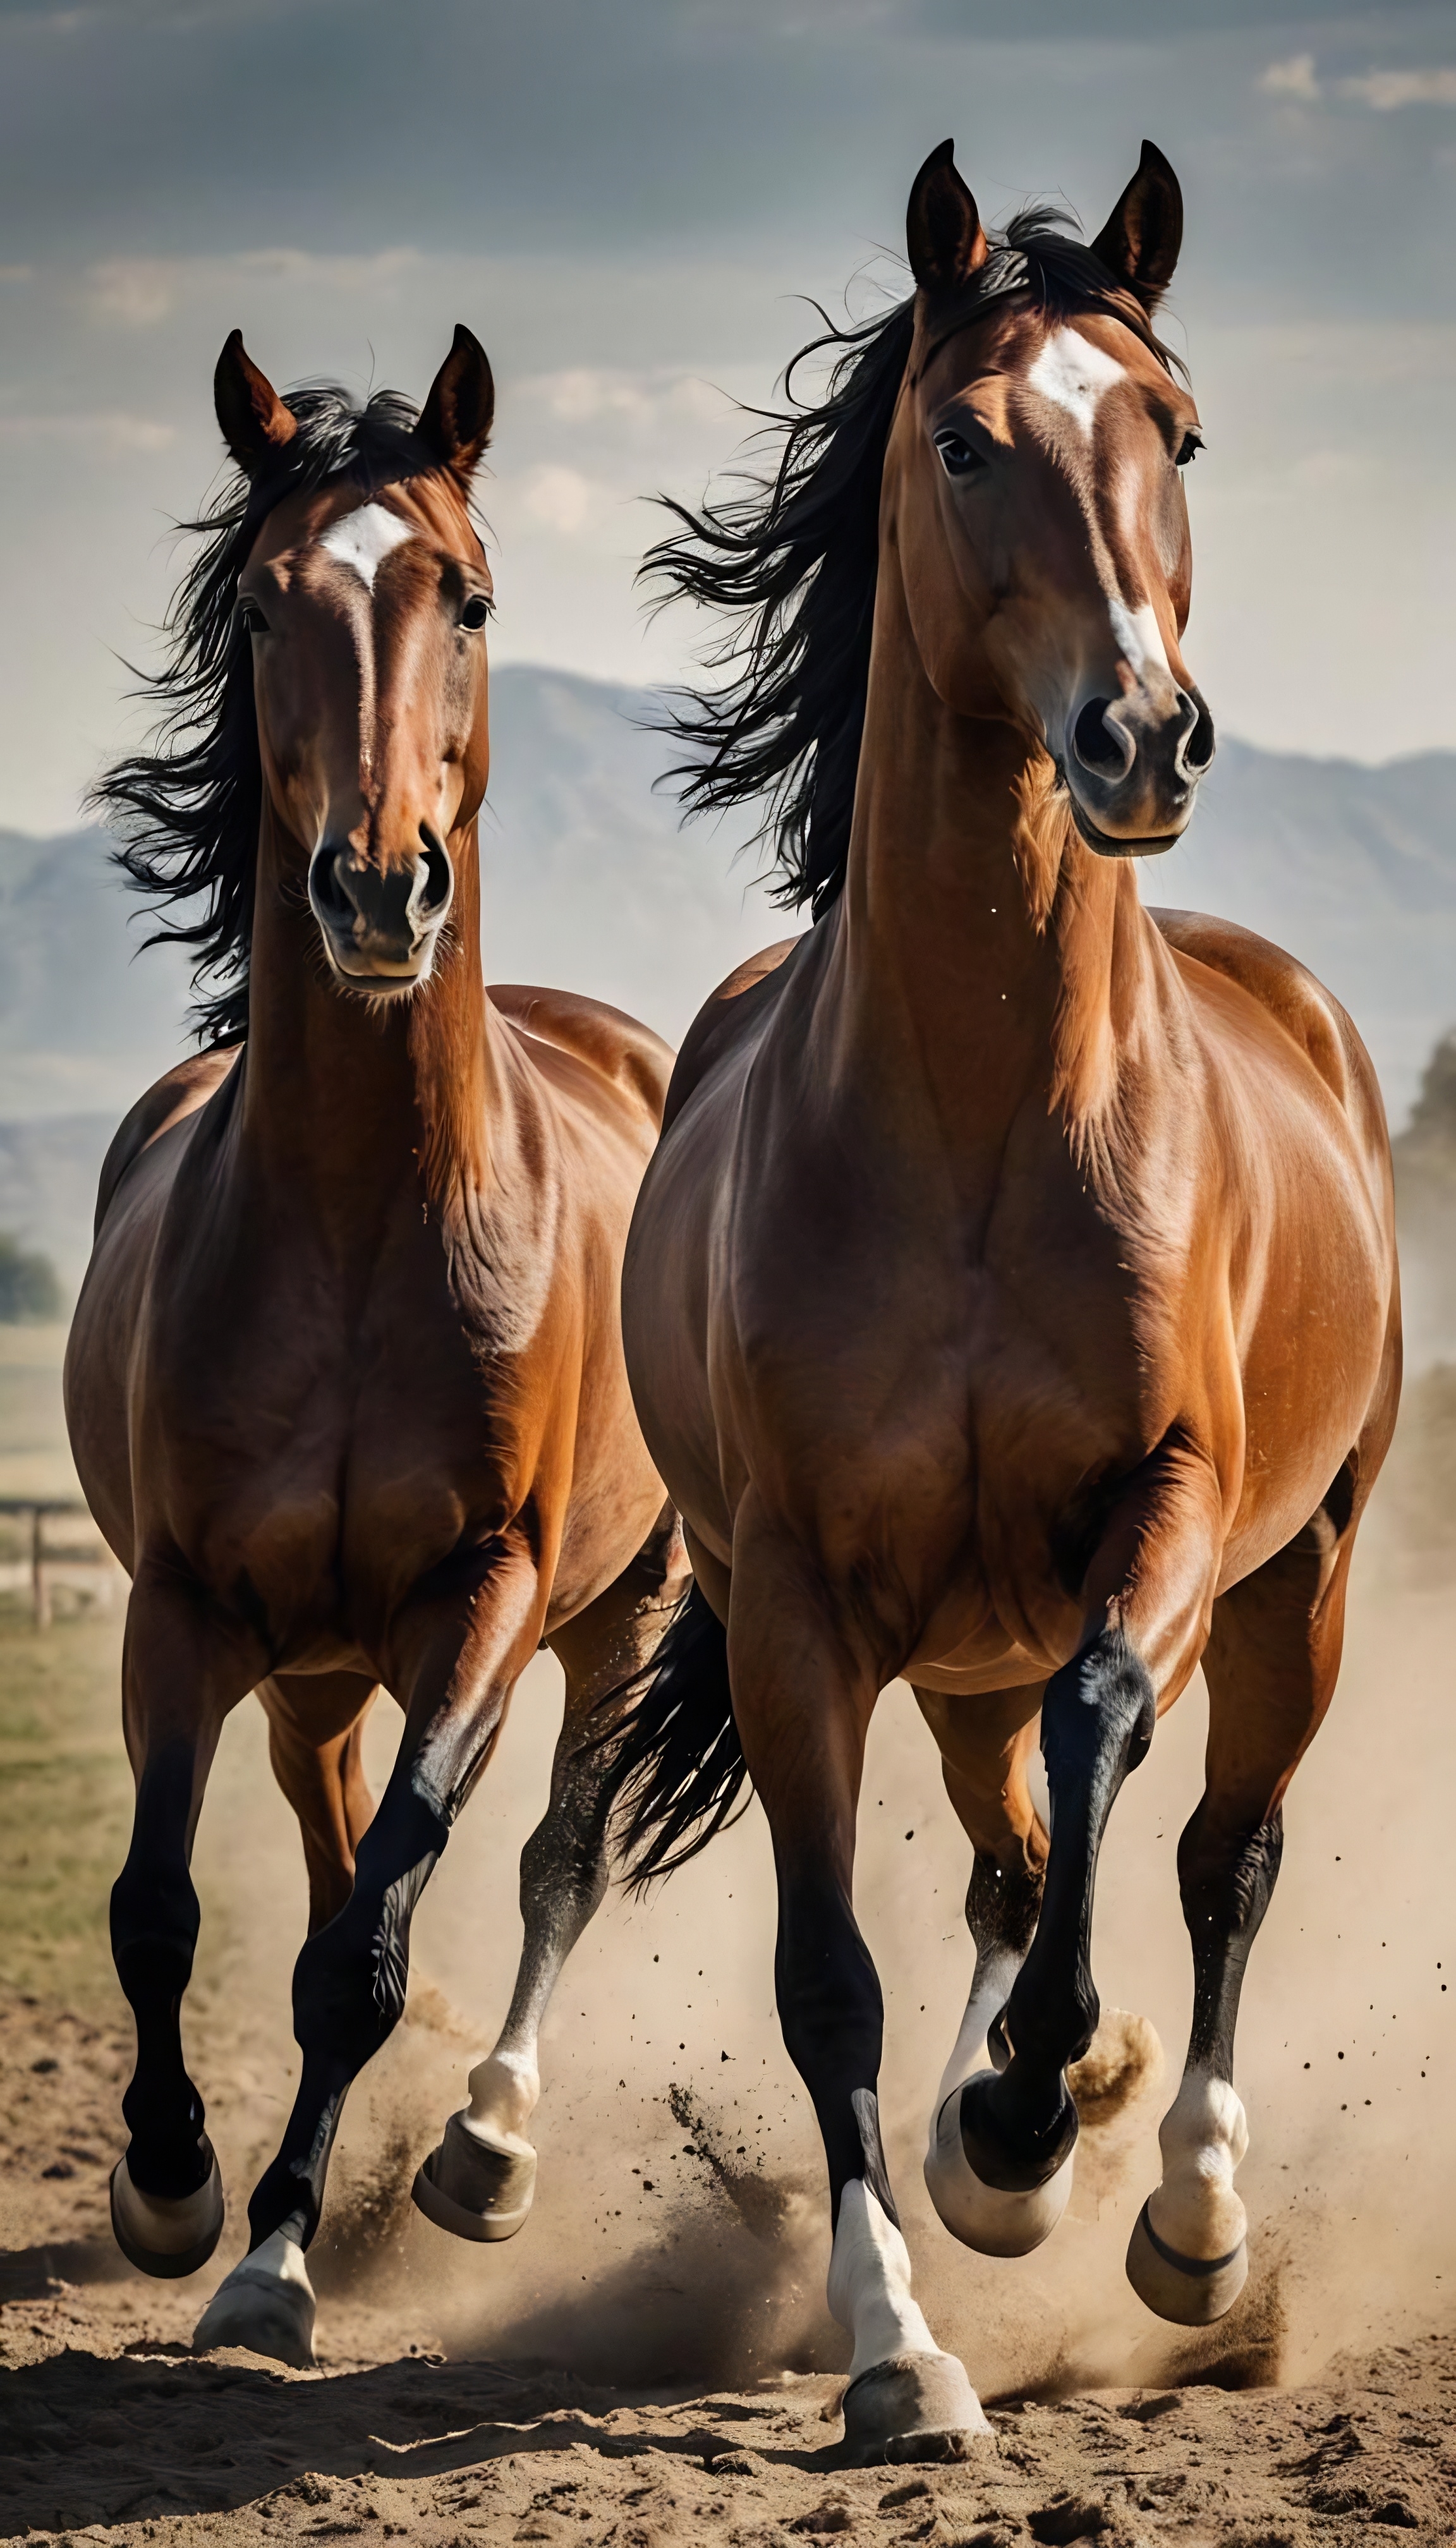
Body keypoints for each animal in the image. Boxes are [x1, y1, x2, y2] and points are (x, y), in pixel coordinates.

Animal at [64, 325, 687, 2369]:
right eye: (264, 606)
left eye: (468, 594)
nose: (378, 890)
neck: (357, 1233)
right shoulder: (186, 1604)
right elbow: (161, 1910)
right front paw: (176, 2188)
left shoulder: (478, 1600)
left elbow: (373, 1946)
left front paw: (270, 2261)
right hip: (308, 1672)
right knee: (337, 1850)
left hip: (621, 1606)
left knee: (550, 1858)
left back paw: (483, 2150)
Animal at [607, 141, 1399, 2464]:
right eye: (964, 441)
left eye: (1182, 434)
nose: (1144, 737)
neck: (971, 1127)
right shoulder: (792, 1599)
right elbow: (832, 1977)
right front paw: (902, 2336)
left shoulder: (1166, 1512)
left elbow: (1117, 1738)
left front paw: (1045, 2118)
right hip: (947, 1650)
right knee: (1006, 1848)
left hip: (1304, 1568)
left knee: (1220, 1845)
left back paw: (1186, 2220)